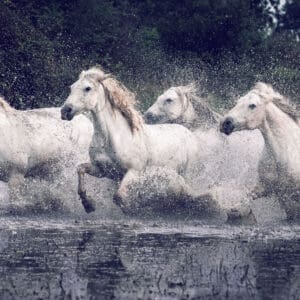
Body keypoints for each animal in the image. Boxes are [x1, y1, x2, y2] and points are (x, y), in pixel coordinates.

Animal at [61, 67, 218, 214]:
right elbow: (80, 170)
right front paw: (88, 205)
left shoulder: (133, 171)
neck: (114, 138)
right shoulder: (102, 170)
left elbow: (118, 196)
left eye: (87, 88)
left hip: (190, 173)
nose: (65, 111)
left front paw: (132, 209)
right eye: (71, 87)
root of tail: (191, 134)